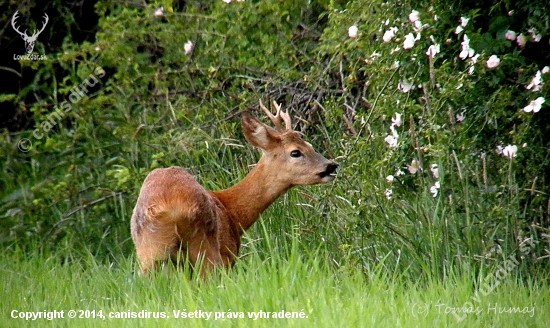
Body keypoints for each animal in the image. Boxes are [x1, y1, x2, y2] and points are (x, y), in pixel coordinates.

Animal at [132, 100, 338, 276]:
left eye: (309, 145)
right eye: (295, 152)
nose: (331, 166)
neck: (232, 212)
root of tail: (172, 205)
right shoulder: (228, 254)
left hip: (149, 252)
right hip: (206, 247)